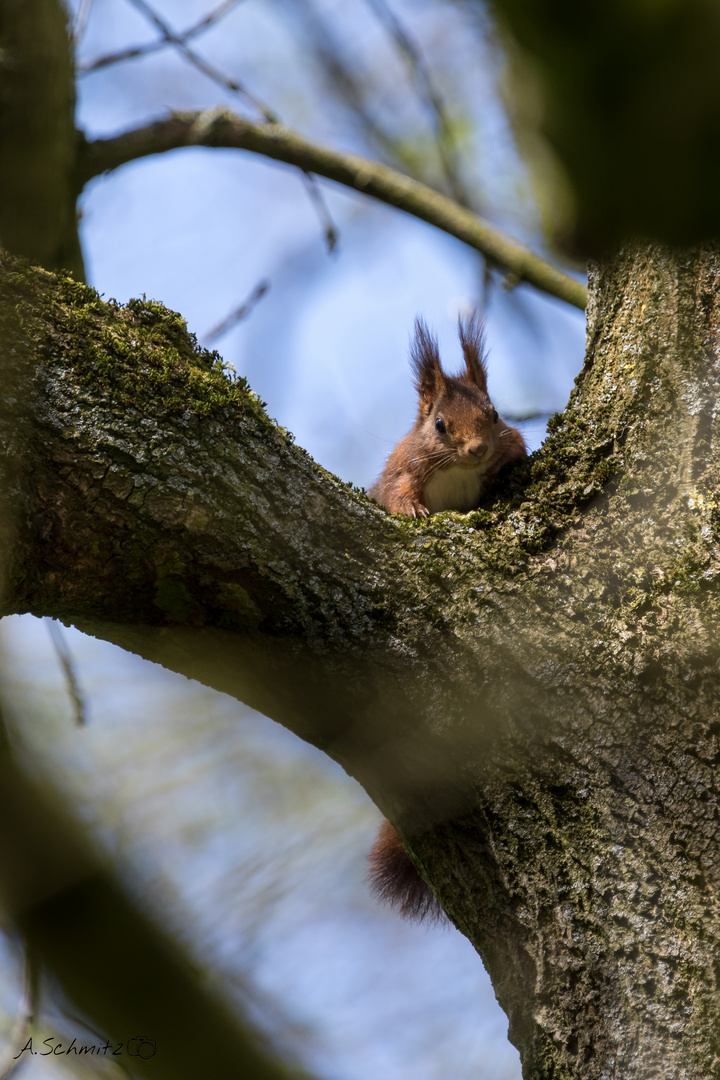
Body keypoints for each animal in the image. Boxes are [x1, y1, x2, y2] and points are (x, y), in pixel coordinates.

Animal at [369, 315, 526, 920]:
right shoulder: (402, 468)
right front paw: (412, 511)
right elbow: (397, 493)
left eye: (495, 413)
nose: (479, 448)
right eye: (439, 424)